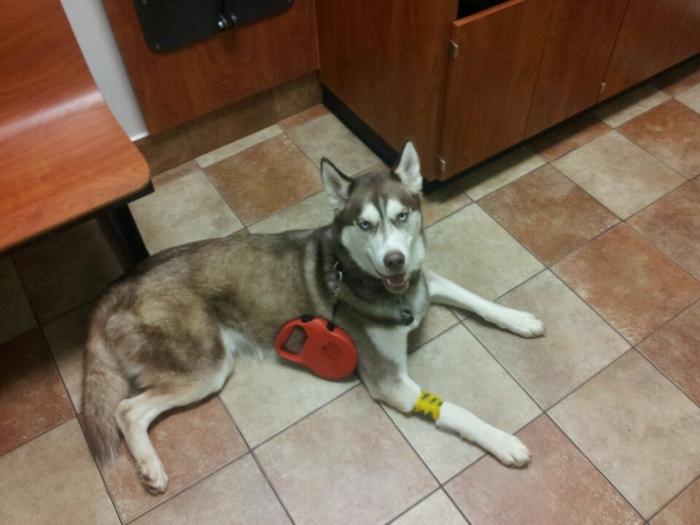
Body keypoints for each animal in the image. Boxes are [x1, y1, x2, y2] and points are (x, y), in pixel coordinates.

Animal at [83, 141, 544, 494]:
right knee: (127, 409)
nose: (394, 260)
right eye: (364, 224)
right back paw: (150, 467)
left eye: (401, 216)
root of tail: (122, 283)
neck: (385, 288)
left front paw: (520, 319)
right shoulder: (391, 382)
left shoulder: (425, 282)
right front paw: (503, 441)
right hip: (207, 367)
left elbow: (477, 299)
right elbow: (458, 411)